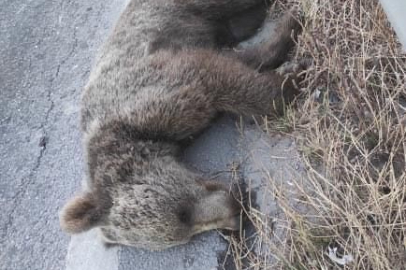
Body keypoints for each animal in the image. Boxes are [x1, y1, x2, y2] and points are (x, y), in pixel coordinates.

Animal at [59, 0, 302, 250]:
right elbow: (237, 61)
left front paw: (288, 73)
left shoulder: (155, 94)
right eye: (186, 234)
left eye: (182, 213)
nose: (236, 216)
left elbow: (221, 75)